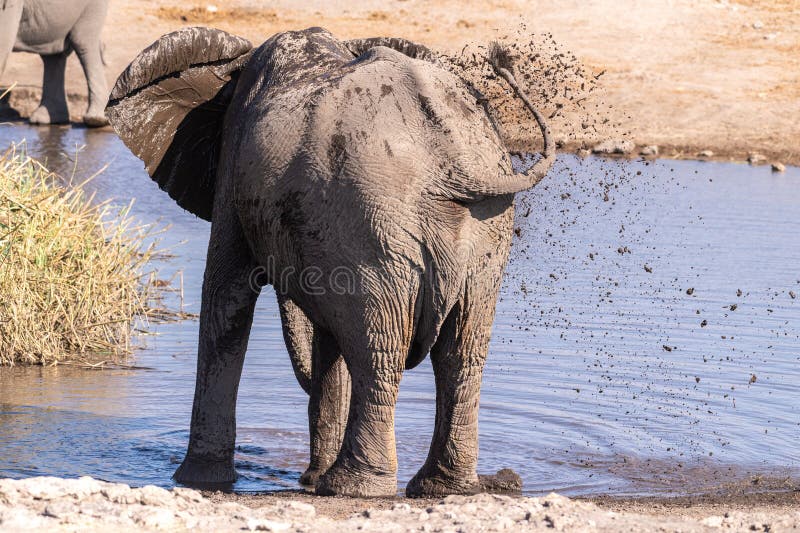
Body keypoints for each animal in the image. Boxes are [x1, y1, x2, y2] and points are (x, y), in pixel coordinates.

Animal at [106, 26, 554, 498]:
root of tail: (456, 162)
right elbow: (325, 331)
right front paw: (308, 479)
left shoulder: (233, 163)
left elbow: (227, 297)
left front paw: (197, 481)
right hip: (479, 233)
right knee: (460, 352)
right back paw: (440, 486)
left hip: (374, 223)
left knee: (379, 350)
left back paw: (352, 486)